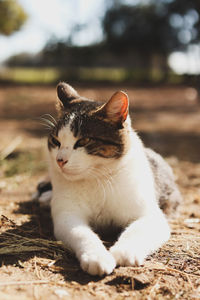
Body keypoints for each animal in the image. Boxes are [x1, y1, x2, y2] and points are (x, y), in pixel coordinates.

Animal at [36, 82, 182, 276]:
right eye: (55, 140)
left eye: (83, 141)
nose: (60, 160)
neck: (98, 179)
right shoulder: (67, 216)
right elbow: (81, 233)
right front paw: (96, 257)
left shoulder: (151, 216)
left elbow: (138, 231)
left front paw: (126, 251)